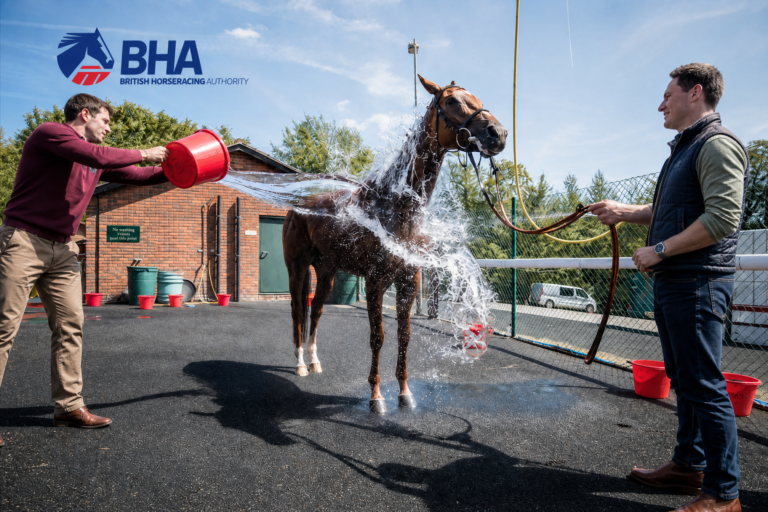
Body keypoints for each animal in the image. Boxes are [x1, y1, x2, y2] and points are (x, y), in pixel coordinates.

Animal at [282, 75, 507, 413]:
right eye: (452, 101)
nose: (498, 133)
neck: (397, 209)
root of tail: (296, 206)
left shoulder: (408, 281)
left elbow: (404, 336)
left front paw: (404, 393)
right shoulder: (376, 281)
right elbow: (378, 337)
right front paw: (376, 397)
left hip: (326, 272)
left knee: (317, 310)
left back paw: (314, 361)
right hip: (297, 269)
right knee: (298, 311)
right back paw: (300, 365)